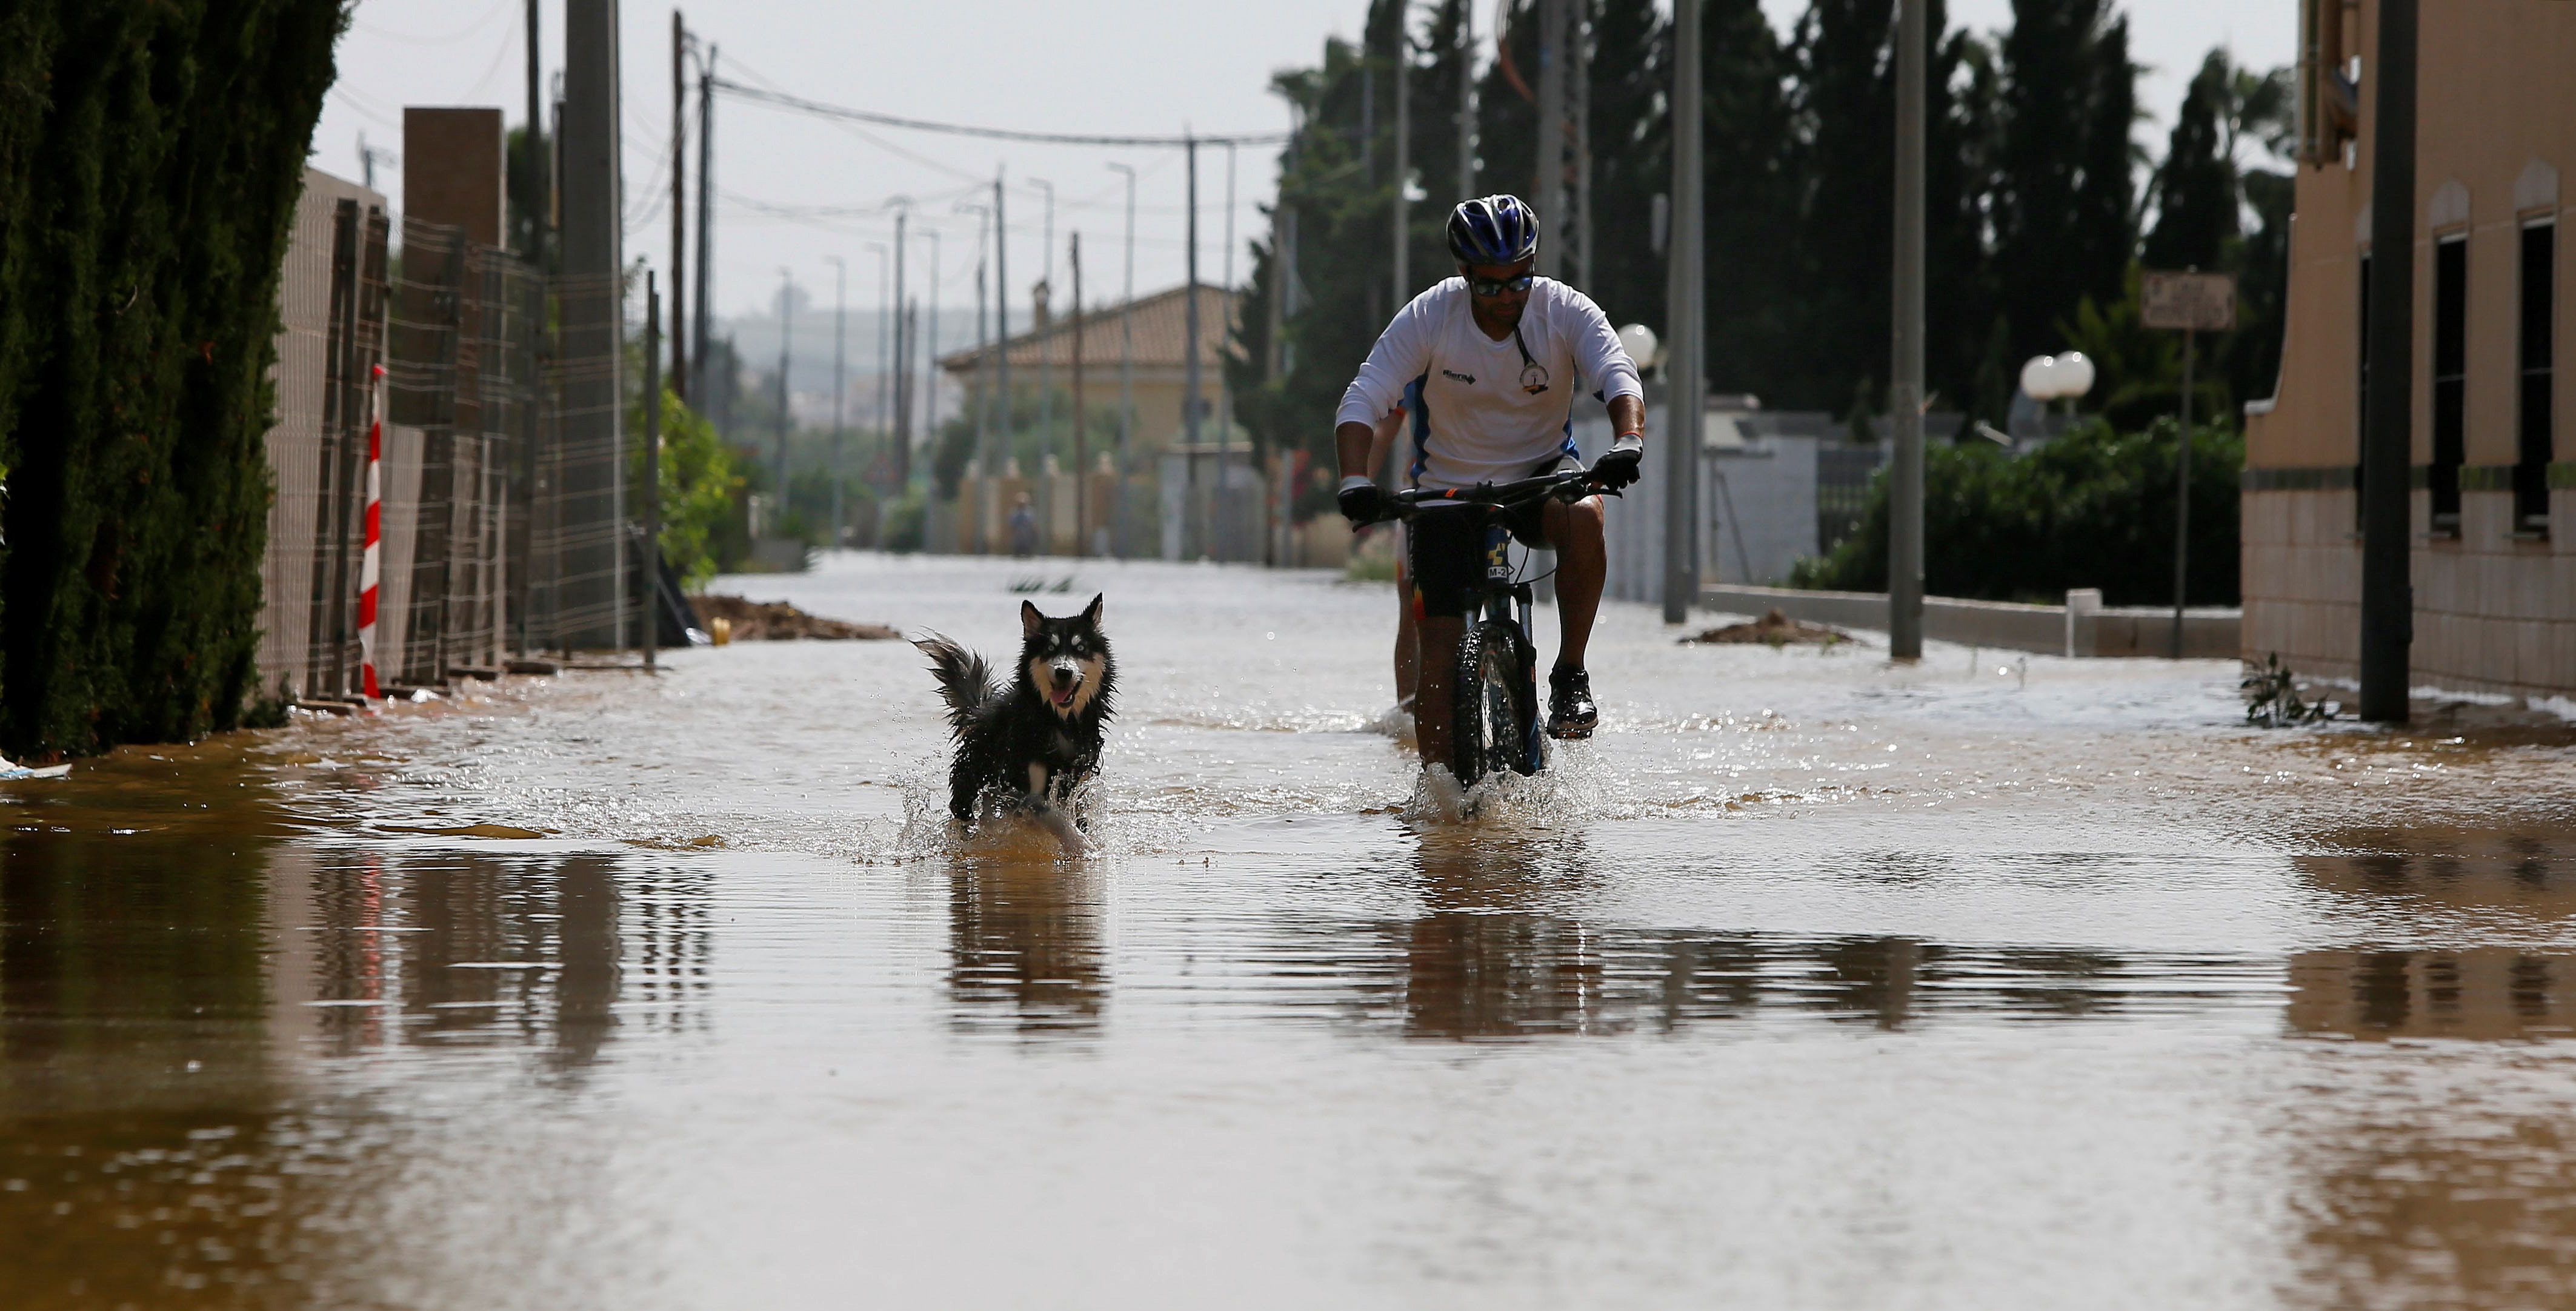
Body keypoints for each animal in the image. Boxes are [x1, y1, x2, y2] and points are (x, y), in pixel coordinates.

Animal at [917, 592, 1117, 839]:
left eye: (1080, 648)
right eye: (1049, 649)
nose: (1063, 671)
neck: (1060, 721)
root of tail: (981, 712)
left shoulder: (1077, 785)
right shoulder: (1019, 789)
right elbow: (1055, 818)